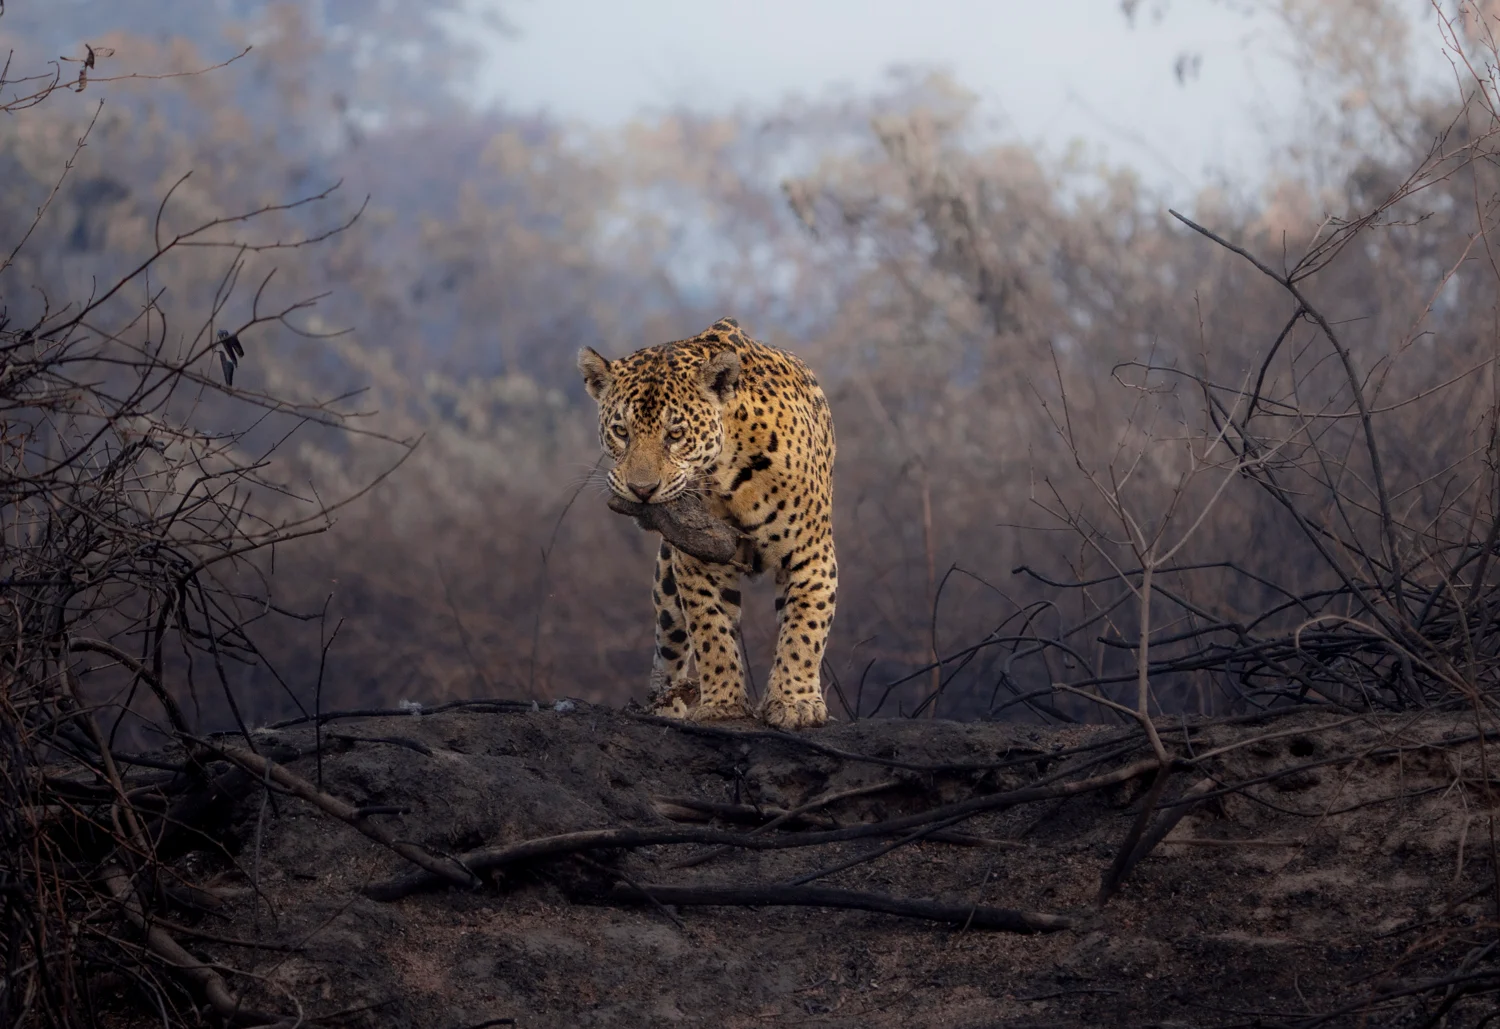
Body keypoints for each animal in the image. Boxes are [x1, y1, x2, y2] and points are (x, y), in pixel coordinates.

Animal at [578, 317, 837, 729]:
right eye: (621, 432)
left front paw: (794, 703)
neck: (726, 472)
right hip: (666, 589)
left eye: (675, 434)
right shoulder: (697, 560)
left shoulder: (809, 553)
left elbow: (804, 629)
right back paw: (666, 705)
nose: (642, 490)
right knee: (669, 648)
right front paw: (723, 705)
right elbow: (711, 630)